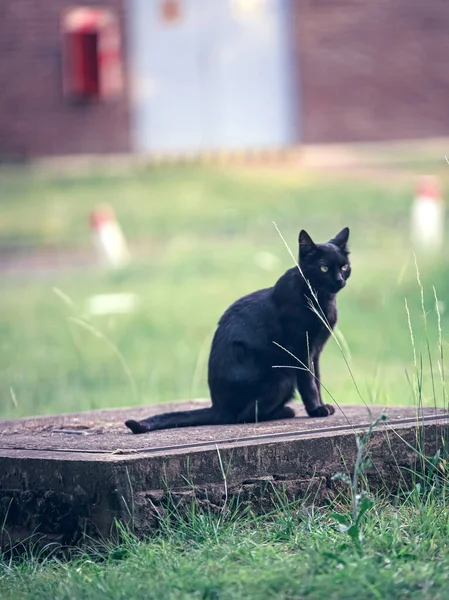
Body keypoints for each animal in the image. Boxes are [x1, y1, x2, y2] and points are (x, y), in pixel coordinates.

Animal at [125, 227, 350, 434]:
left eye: (345, 266)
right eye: (323, 268)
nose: (340, 280)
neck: (321, 299)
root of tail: (217, 406)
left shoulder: (315, 351)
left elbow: (317, 379)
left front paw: (322, 405)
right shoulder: (302, 350)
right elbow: (309, 383)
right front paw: (316, 410)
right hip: (283, 377)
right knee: (243, 416)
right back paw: (285, 411)